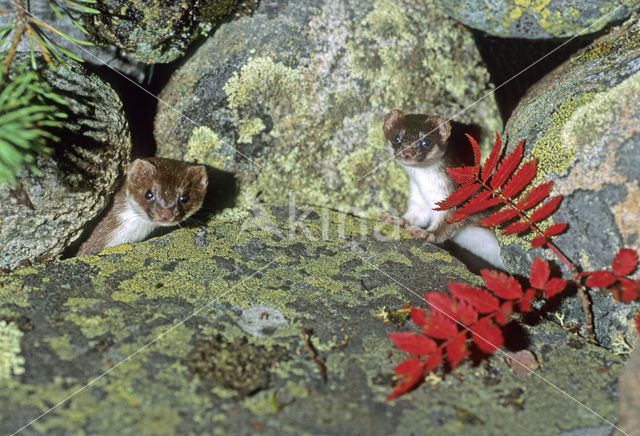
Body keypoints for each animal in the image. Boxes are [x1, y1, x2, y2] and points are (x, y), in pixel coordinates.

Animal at [380, 109, 504, 270]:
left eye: (426, 141)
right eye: (397, 138)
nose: (408, 153)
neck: (428, 189)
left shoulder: (456, 197)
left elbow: (447, 224)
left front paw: (425, 233)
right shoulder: (419, 198)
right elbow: (416, 216)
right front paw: (396, 219)